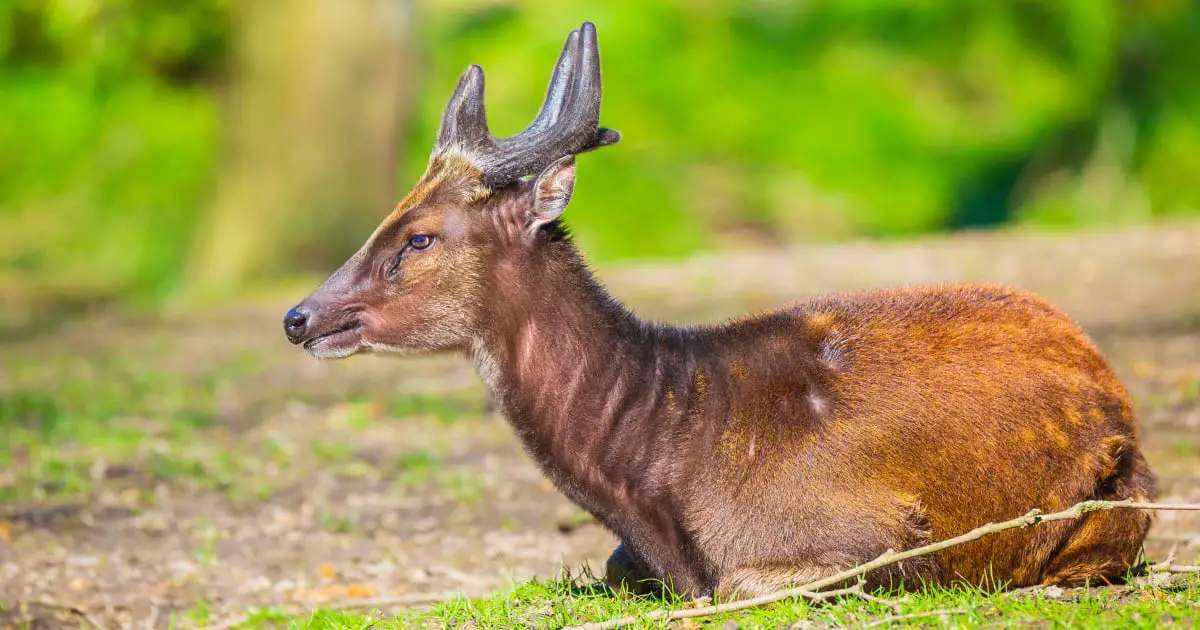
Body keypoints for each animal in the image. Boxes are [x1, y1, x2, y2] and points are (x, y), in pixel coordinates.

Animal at [280, 22, 1152, 597]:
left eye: (419, 236)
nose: (297, 316)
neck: (662, 472)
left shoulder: (868, 533)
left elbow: (736, 584)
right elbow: (617, 566)